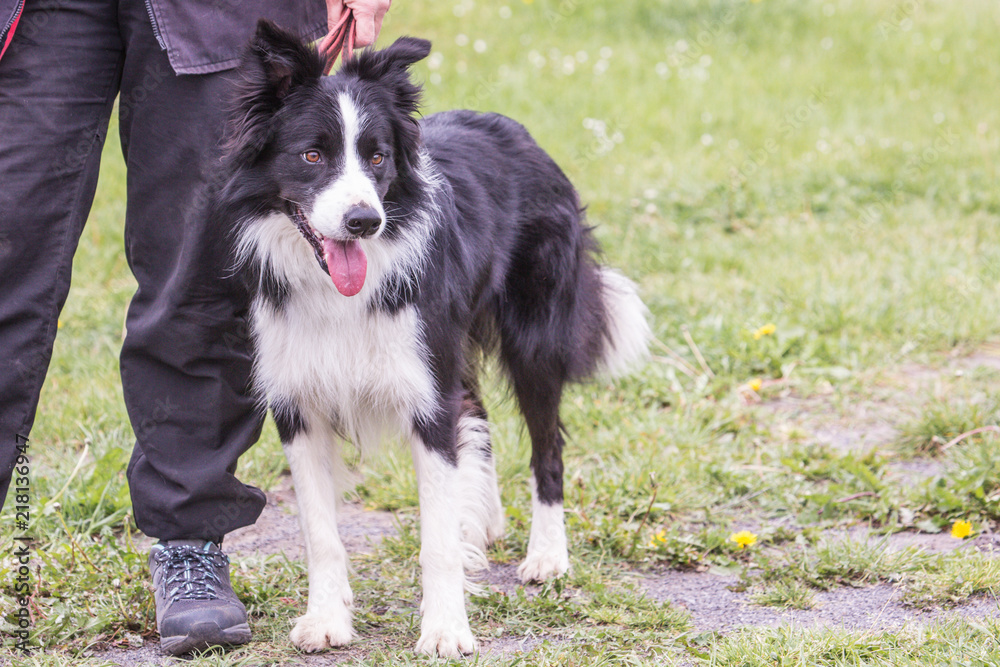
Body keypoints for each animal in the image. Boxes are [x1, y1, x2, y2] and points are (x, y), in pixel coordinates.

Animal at [221, 20, 648, 656]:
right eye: (312, 155)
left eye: (376, 157)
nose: (364, 222)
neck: (338, 291)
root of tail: (518, 132)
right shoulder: (299, 401)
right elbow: (320, 531)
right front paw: (325, 620)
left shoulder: (426, 394)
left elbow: (437, 538)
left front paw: (446, 629)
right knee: (475, 410)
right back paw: (484, 519)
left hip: (532, 333)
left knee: (547, 446)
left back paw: (547, 556)